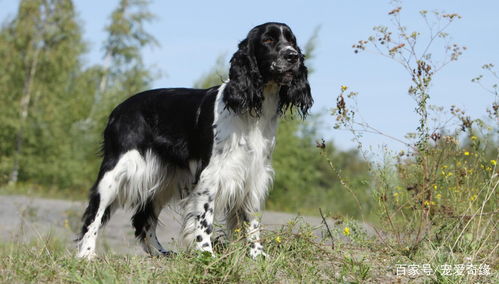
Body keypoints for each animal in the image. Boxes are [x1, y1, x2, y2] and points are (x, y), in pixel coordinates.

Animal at [77, 22, 312, 260]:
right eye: (268, 40)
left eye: (291, 41)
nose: (293, 56)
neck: (252, 111)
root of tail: (117, 110)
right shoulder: (211, 173)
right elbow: (204, 217)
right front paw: (206, 252)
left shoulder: (254, 173)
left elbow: (251, 219)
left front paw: (257, 254)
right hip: (115, 172)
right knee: (94, 213)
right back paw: (86, 254)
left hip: (164, 179)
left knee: (144, 218)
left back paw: (161, 252)